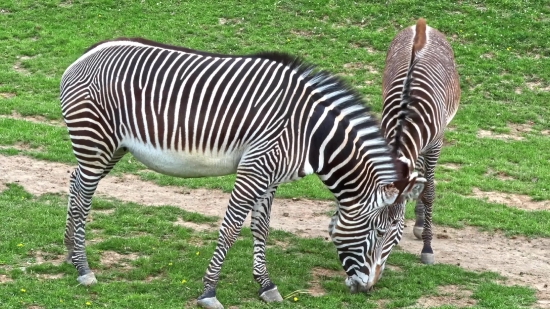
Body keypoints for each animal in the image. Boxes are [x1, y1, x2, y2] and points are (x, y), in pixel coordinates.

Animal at [60, 37, 426, 306]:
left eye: (394, 239)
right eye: (379, 232)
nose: (367, 288)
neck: (310, 134)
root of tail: (85, 56)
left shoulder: (271, 176)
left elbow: (261, 227)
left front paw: (266, 285)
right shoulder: (254, 168)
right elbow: (231, 228)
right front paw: (208, 291)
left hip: (112, 147)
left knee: (75, 182)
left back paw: (69, 255)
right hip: (95, 140)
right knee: (83, 198)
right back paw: (83, 267)